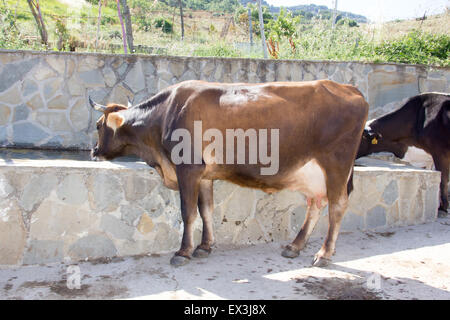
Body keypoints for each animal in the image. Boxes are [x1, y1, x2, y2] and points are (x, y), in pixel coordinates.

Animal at [89, 79, 368, 268]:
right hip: (314, 173)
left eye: (99, 125)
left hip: (336, 164)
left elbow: (188, 212)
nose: (93, 151)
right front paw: (205, 246)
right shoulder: (204, 175)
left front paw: (183, 252)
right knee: (316, 203)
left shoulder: (188, 168)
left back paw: (324, 254)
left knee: (337, 205)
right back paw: (294, 246)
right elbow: (206, 210)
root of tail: (350, 89)